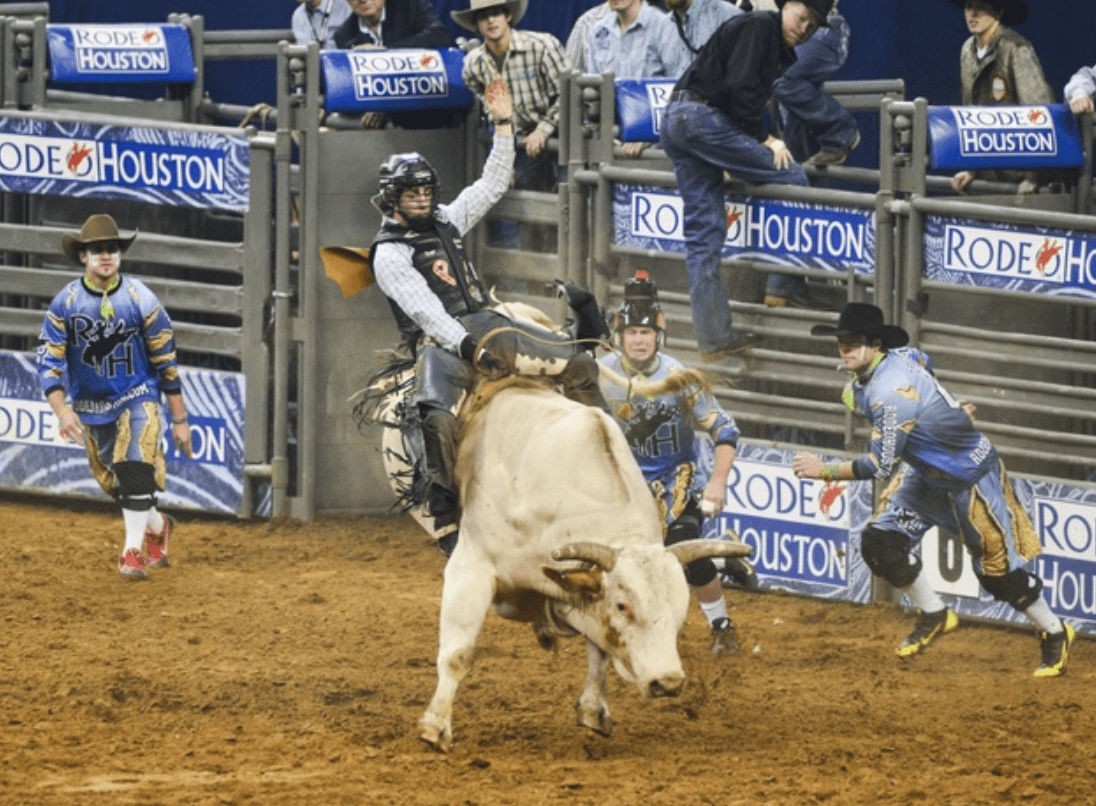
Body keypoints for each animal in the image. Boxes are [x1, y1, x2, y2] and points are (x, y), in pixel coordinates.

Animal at [355, 300, 749, 754]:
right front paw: (435, 727)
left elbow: (598, 649)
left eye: (681, 606)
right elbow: (457, 654)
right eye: (624, 605)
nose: (667, 682)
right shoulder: (470, 568)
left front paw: (594, 709)